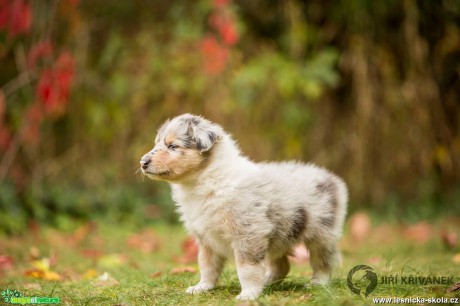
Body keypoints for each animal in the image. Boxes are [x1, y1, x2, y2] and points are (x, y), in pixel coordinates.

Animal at [138, 113, 346, 300]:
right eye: (157, 144)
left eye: (173, 146)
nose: (142, 163)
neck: (205, 181)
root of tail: (331, 178)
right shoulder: (206, 238)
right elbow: (207, 265)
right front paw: (202, 287)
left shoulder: (247, 233)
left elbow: (247, 269)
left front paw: (248, 294)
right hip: (277, 235)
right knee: (282, 265)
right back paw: (267, 281)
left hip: (322, 234)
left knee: (325, 261)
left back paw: (318, 283)